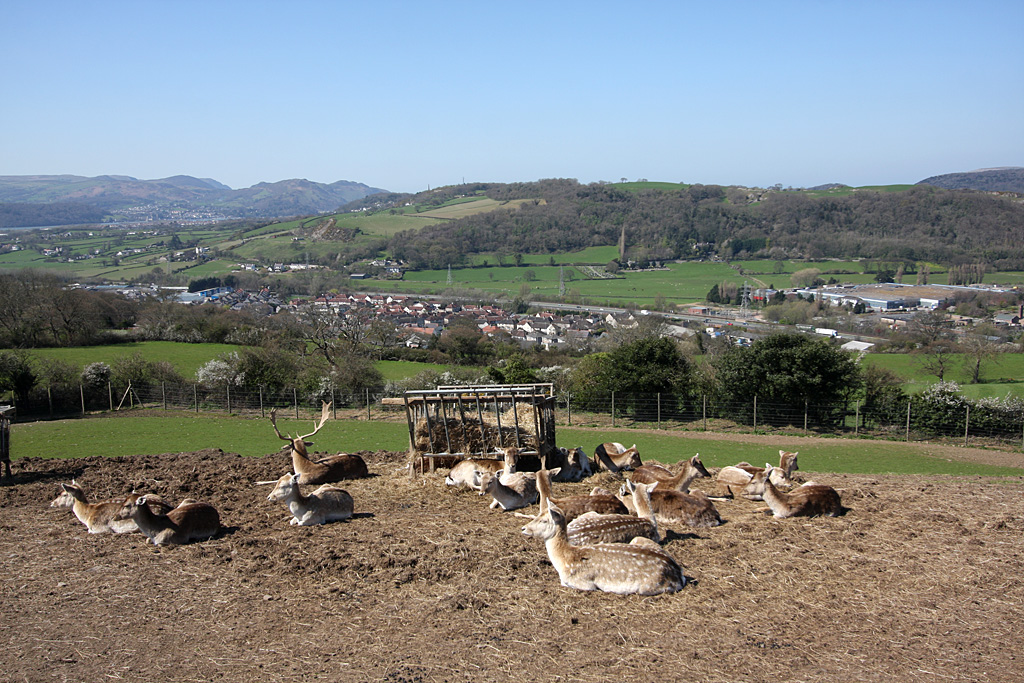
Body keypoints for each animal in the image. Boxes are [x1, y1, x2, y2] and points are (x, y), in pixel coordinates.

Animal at [520, 504, 685, 595]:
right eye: (537, 514)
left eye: (544, 520)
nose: (523, 528)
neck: (564, 561)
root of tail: (678, 573)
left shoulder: (583, 583)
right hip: (638, 539)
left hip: (647, 586)